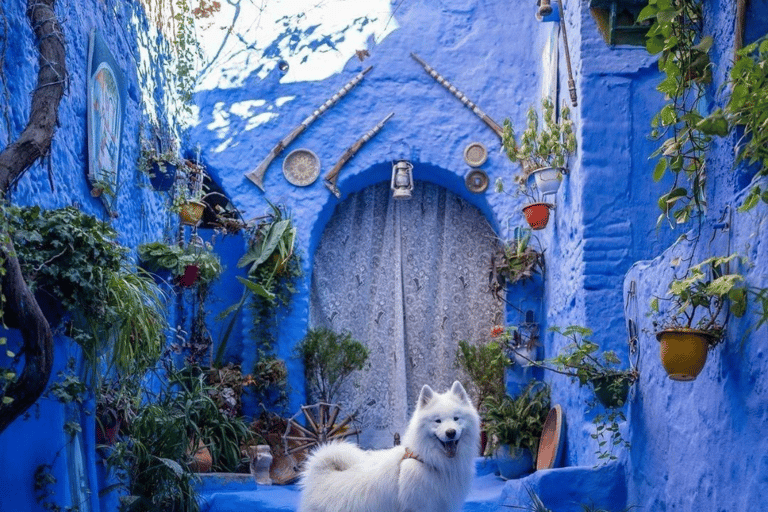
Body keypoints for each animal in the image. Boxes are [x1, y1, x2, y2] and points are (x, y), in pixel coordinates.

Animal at [296, 380, 476, 512]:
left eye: (456, 418)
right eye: (437, 421)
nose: (450, 432)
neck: (427, 460)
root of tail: (321, 472)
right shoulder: (420, 506)